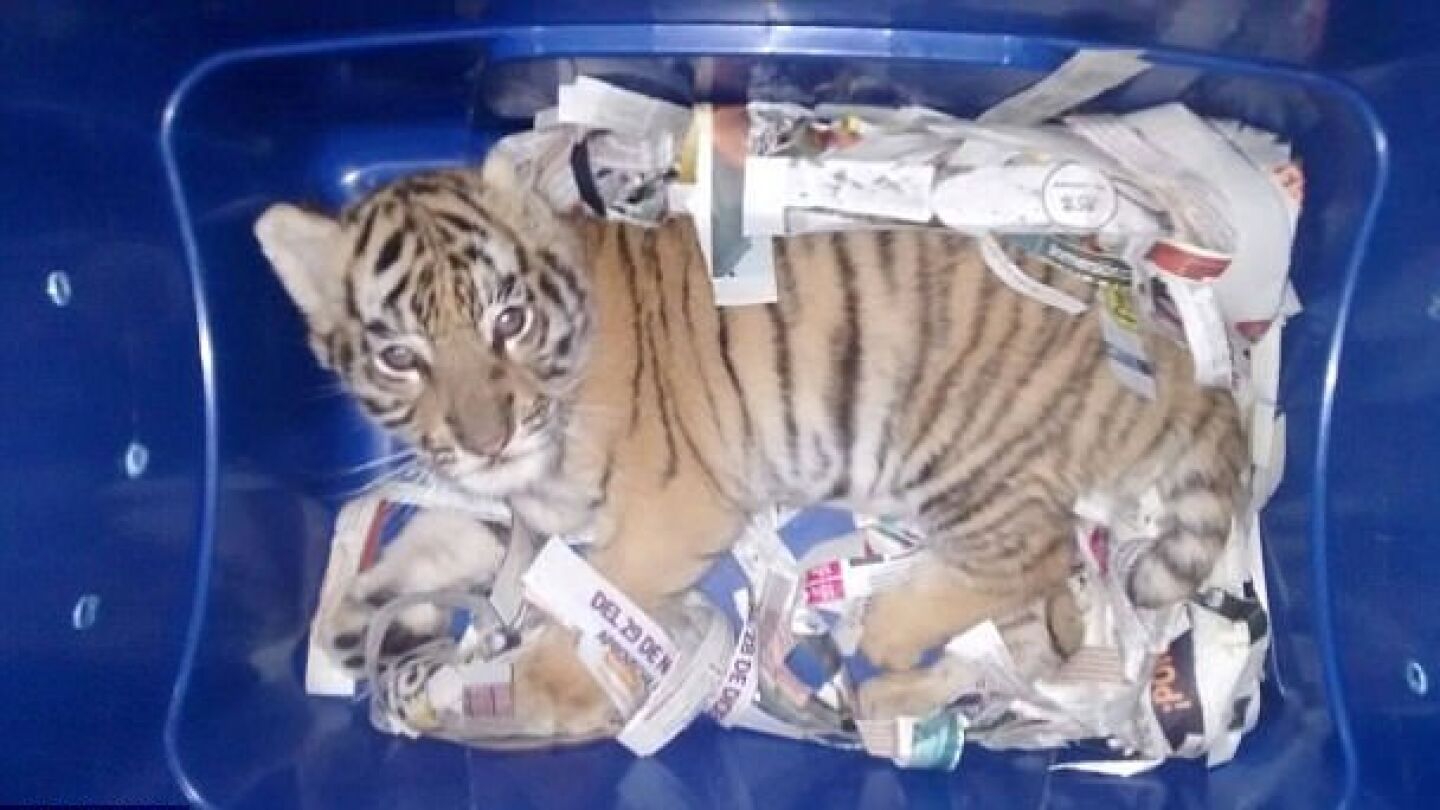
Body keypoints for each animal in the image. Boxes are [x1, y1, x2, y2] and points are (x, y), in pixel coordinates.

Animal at [254, 154, 1245, 744]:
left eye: (509, 320)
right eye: (400, 356)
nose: (486, 437)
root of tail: (1176, 357)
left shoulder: (667, 510)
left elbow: (600, 607)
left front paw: (535, 687)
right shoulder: (525, 514)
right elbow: (433, 546)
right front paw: (359, 624)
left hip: (959, 450)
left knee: (1030, 551)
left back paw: (885, 633)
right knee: (1039, 627)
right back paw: (917, 692)